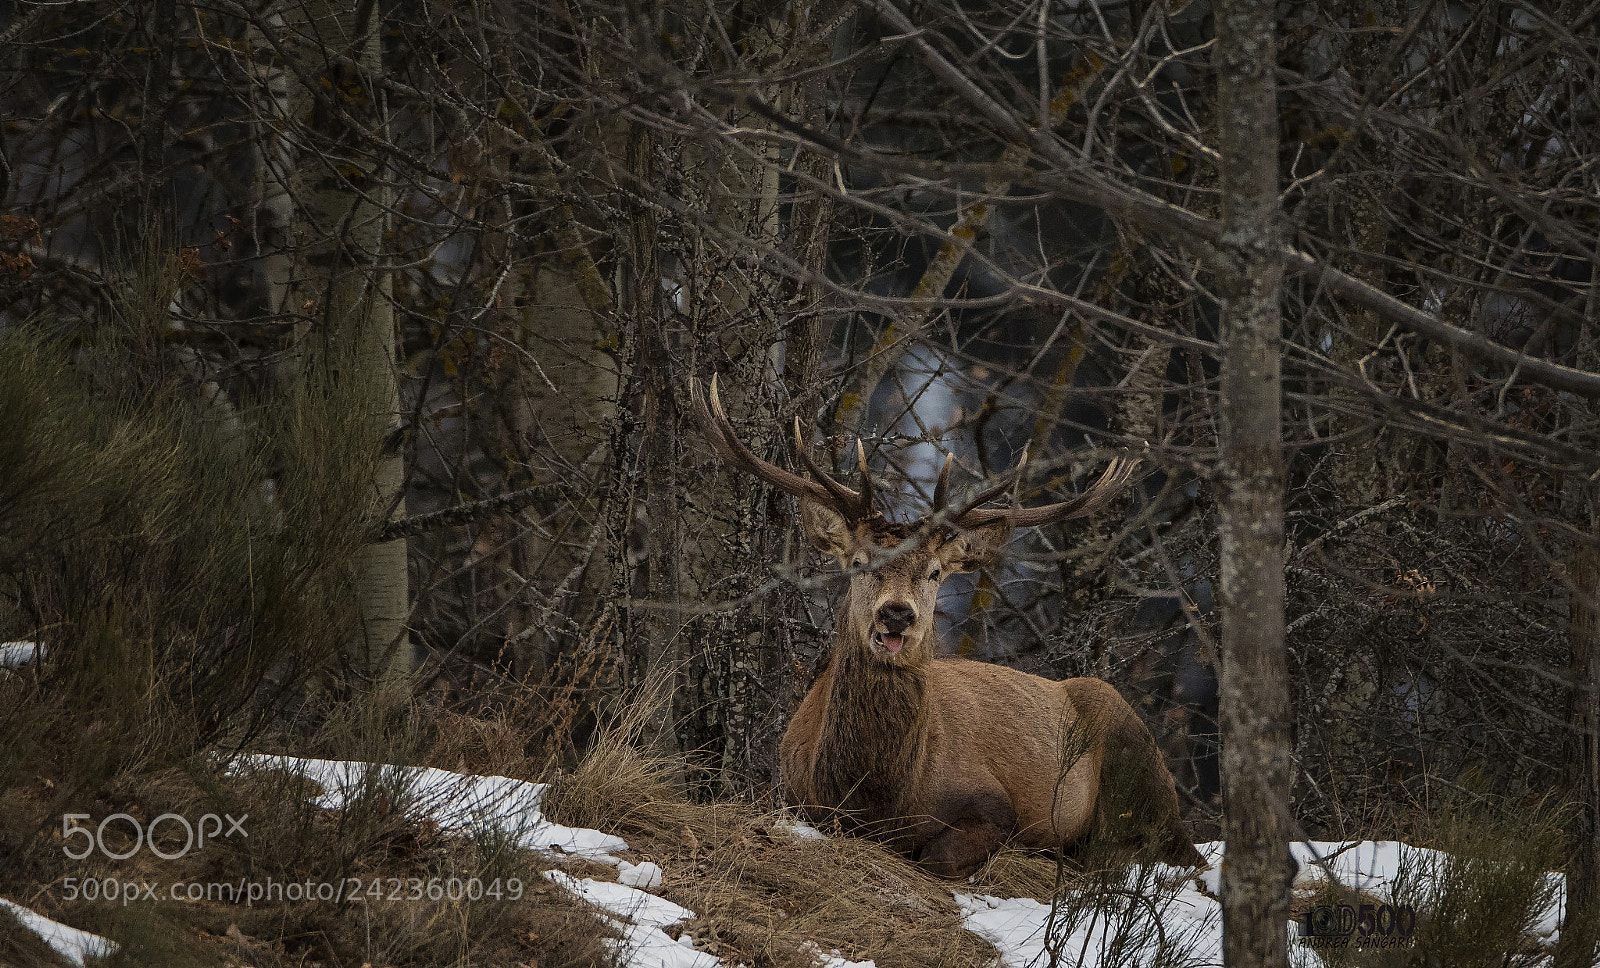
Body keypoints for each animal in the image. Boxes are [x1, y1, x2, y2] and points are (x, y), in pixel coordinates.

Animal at [690, 376, 1204, 877]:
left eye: (935, 572)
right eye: (858, 563)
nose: (897, 614)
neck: (878, 799)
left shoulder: (995, 804)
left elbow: (938, 858)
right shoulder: (793, 794)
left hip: (1136, 752)